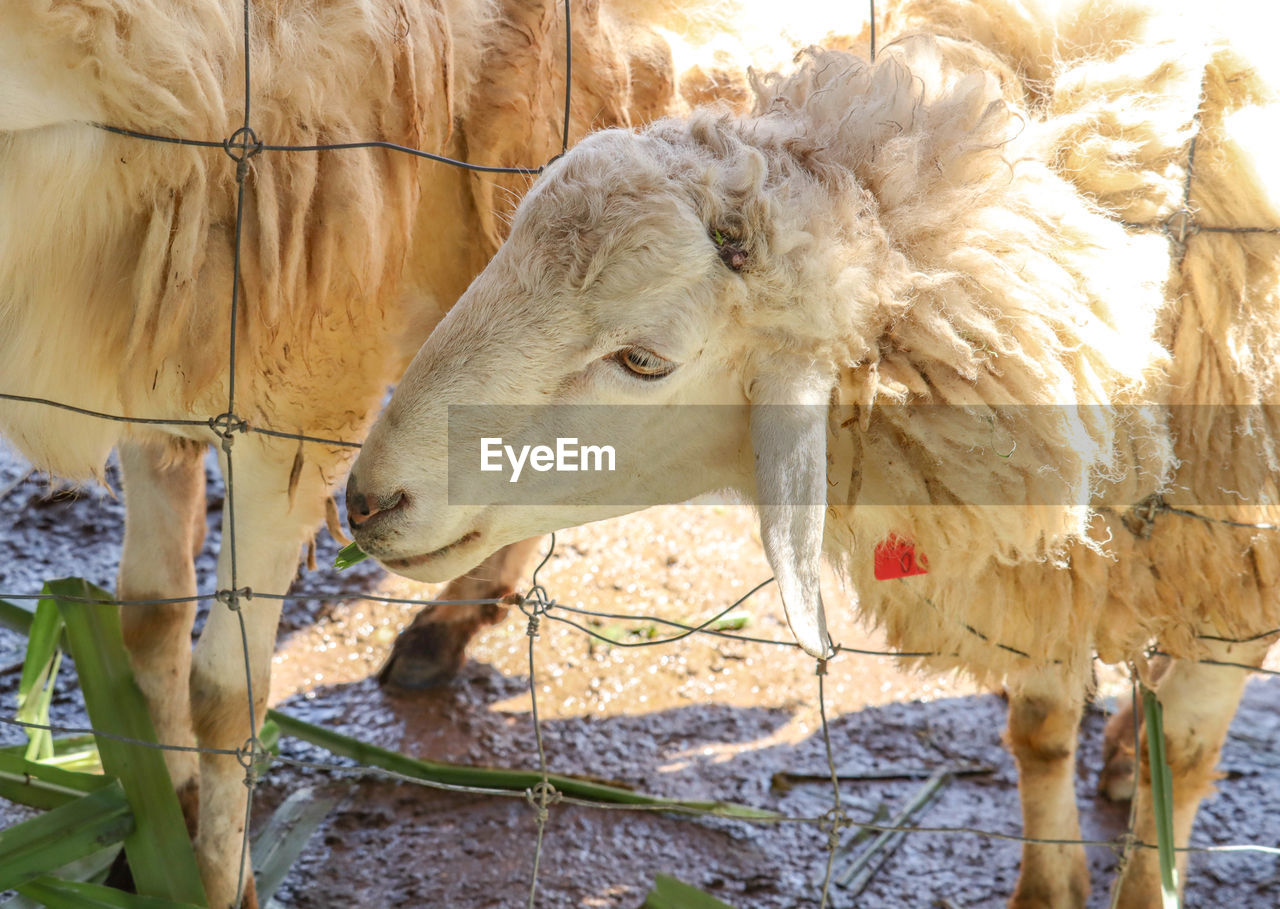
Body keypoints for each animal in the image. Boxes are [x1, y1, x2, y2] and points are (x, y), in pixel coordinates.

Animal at [2, 0, 778, 906]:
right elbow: (149, 622)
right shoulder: (147, 375)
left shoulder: (294, 393)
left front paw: (219, 878)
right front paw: (161, 828)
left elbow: (225, 691)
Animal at [350, 3, 1280, 906]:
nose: (366, 500)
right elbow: (1041, 730)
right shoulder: (1051, 567)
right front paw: (1049, 884)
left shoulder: (1231, 590)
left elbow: (1179, 764)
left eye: (644, 359)